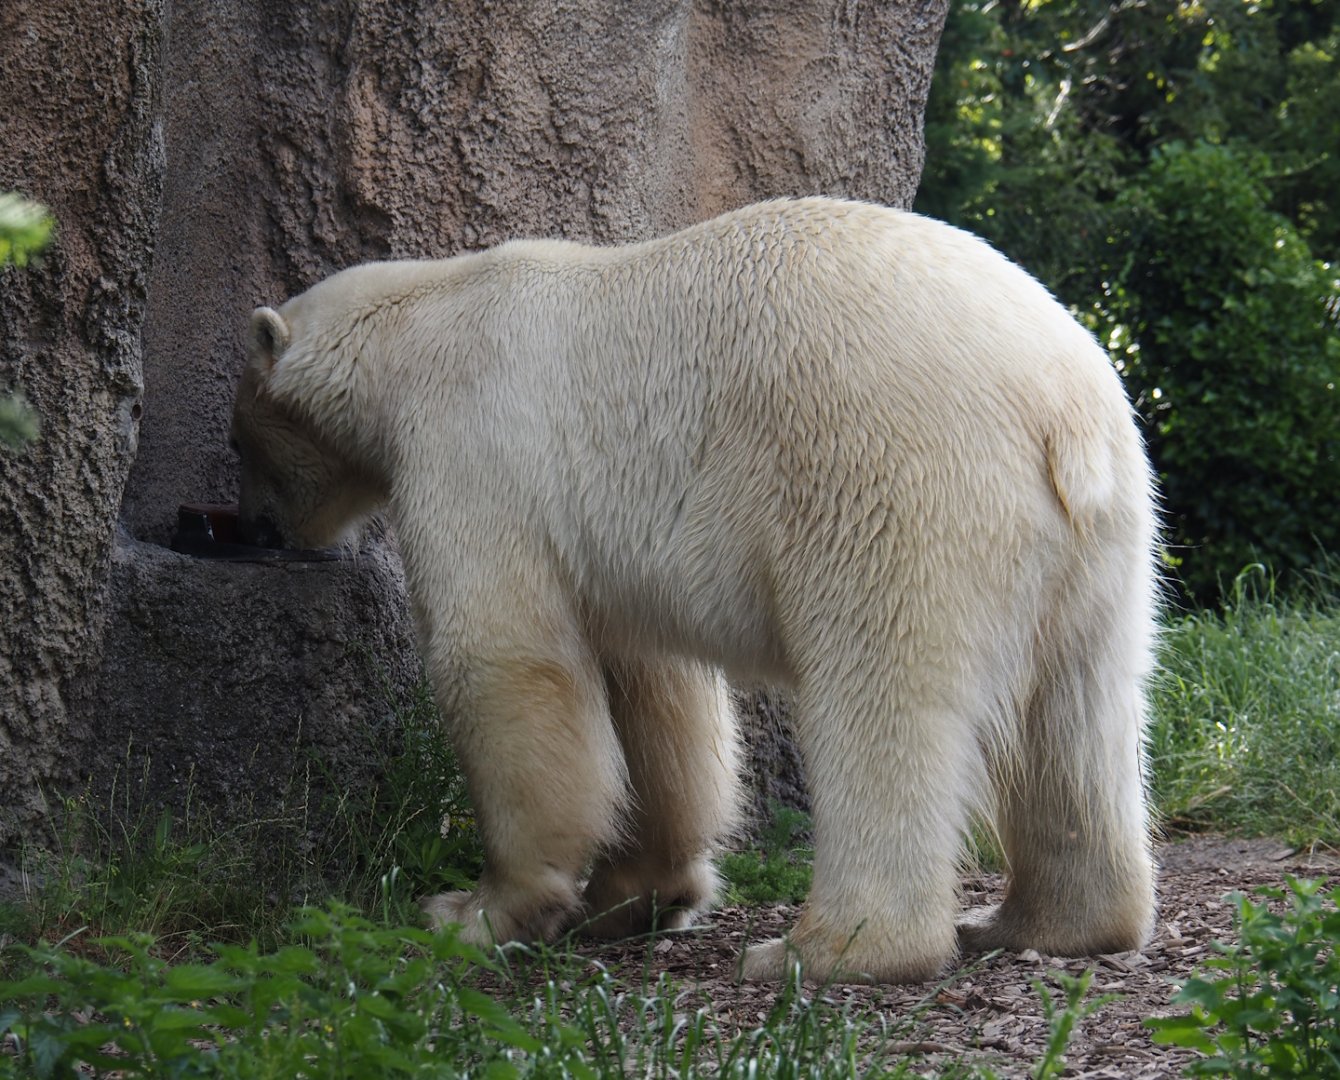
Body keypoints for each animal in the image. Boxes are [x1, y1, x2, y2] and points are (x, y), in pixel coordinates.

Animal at [231, 197, 1159, 984]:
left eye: (242, 442)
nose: (256, 526)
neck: (423, 315)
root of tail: (1060, 409)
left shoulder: (468, 444)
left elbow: (501, 657)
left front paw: (476, 910)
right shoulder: (609, 546)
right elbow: (654, 690)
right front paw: (637, 895)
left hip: (891, 481)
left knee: (883, 699)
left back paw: (826, 950)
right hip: (1107, 537)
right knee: (1080, 712)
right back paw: (1046, 924)